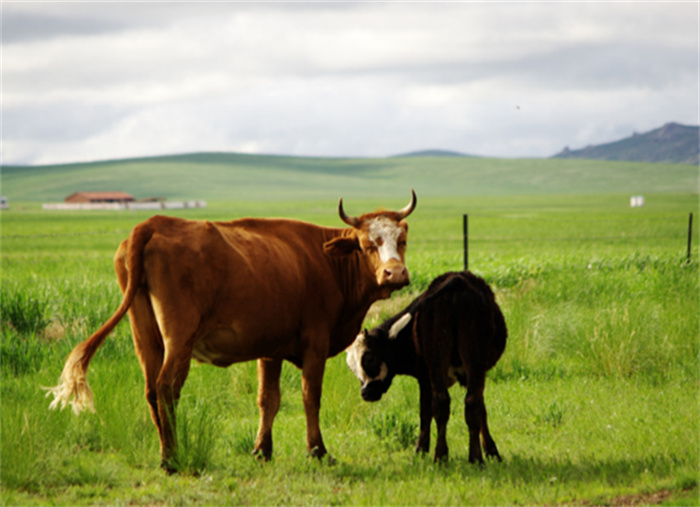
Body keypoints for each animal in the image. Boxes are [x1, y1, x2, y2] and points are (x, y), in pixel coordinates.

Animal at [47, 191, 416, 472]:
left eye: (402, 240)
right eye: (368, 244)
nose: (395, 273)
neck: (327, 262)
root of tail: (153, 223)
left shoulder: (271, 348)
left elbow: (268, 400)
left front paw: (262, 450)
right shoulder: (316, 343)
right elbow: (310, 397)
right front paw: (318, 451)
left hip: (146, 338)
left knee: (151, 389)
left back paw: (166, 451)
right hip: (179, 338)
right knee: (166, 388)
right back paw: (171, 458)